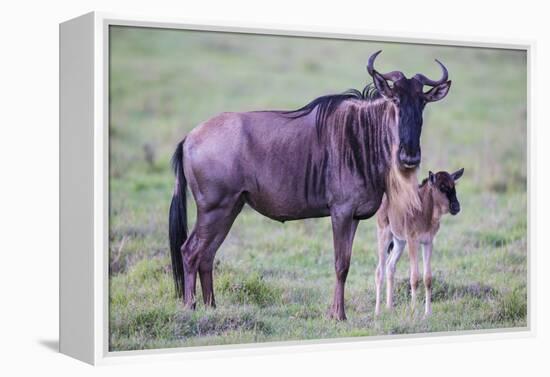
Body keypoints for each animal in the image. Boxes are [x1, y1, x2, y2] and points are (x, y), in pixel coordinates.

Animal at [376, 167, 466, 314]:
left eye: (454, 185)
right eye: (442, 187)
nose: (456, 207)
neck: (424, 210)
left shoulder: (428, 242)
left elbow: (427, 278)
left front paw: (428, 313)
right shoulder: (413, 242)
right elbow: (414, 277)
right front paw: (414, 311)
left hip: (400, 242)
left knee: (390, 266)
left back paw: (389, 308)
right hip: (384, 234)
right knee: (379, 270)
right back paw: (377, 312)